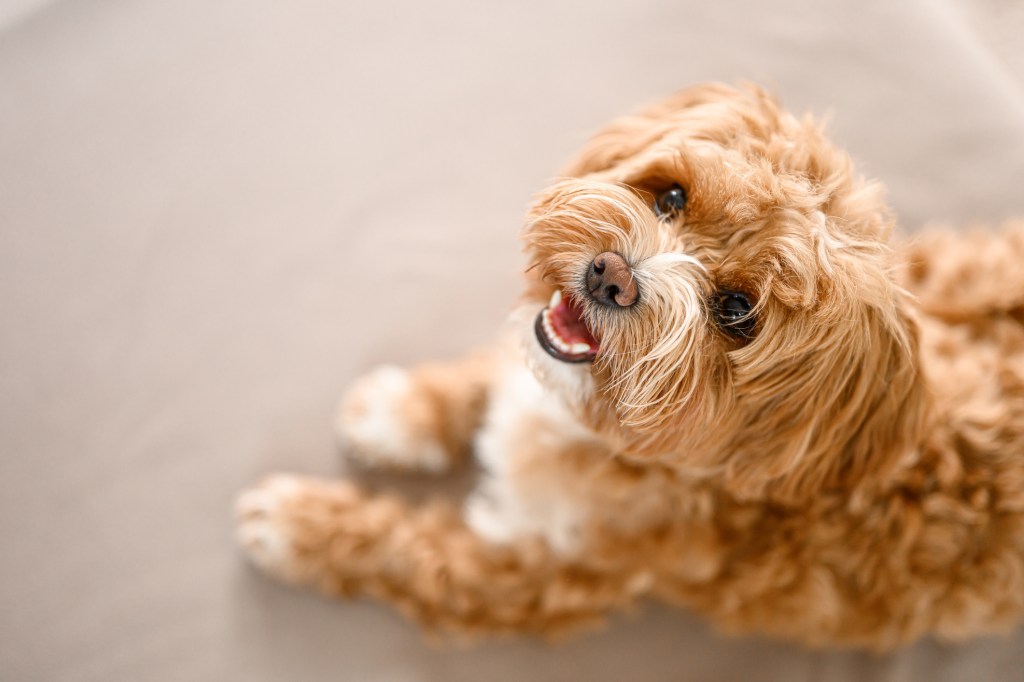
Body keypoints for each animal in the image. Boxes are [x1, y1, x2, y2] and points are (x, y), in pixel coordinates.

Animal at [235, 82, 1024, 647]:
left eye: (736, 312)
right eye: (671, 195)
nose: (612, 275)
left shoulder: (533, 574)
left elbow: (407, 548)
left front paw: (301, 524)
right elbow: (487, 373)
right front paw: (404, 412)